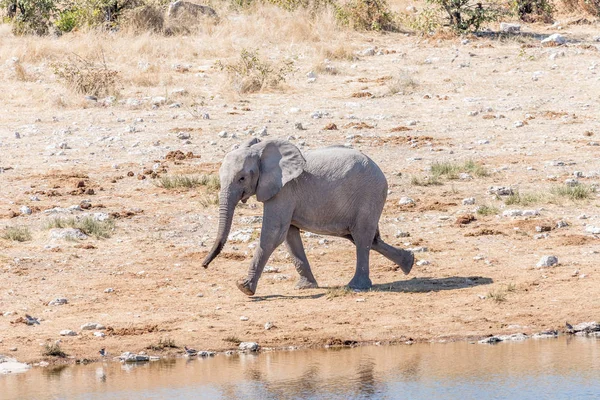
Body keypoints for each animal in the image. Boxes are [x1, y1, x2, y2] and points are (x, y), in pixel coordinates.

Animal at [202, 139, 412, 296]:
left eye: (242, 178)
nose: (204, 265)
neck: (260, 151)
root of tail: (381, 172)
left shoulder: (284, 190)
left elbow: (273, 234)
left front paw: (244, 288)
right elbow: (289, 235)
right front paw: (305, 287)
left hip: (369, 195)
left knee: (362, 238)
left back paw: (356, 286)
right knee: (367, 238)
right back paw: (409, 262)